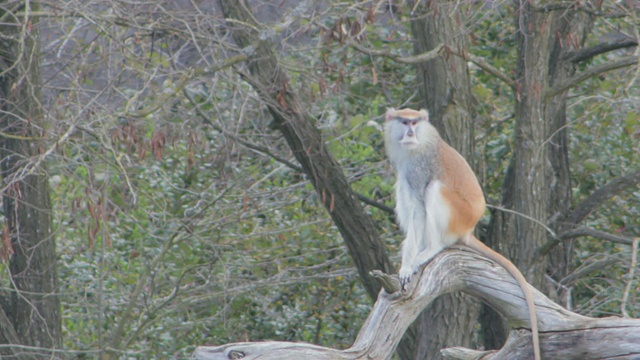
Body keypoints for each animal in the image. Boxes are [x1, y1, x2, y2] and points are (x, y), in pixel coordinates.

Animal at [384, 107, 540, 360]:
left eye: (415, 123)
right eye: (404, 122)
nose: (410, 132)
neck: (420, 143)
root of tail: (468, 228)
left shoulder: (418, 168)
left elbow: (418, 210)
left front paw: (408, 265)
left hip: (457, 213)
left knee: (434, 188)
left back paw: (431, 249)